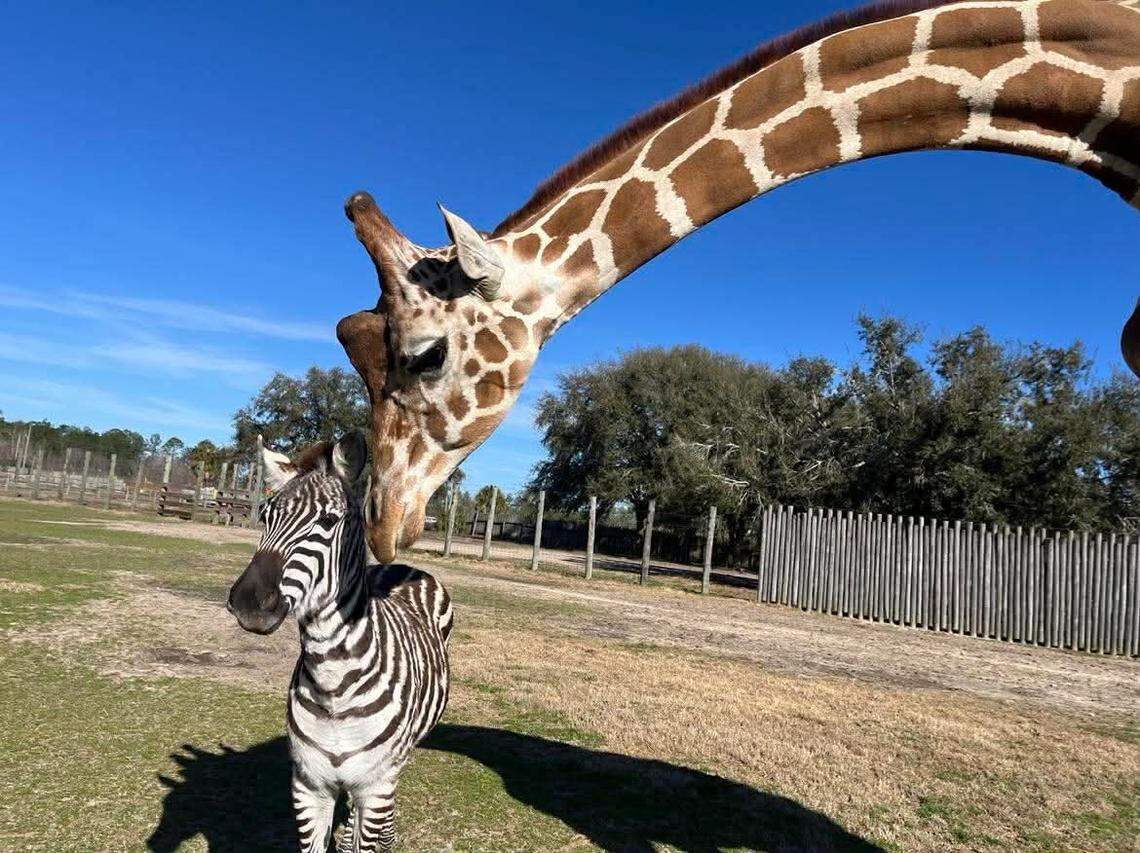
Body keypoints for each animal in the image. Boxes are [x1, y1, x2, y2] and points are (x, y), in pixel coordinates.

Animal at [227, 430, 452, 852]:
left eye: (328, 521)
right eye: (264, 517)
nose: (248, 603)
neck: (332, 682)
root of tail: (402, 567)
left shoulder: (374, 788)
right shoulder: (308, 786)